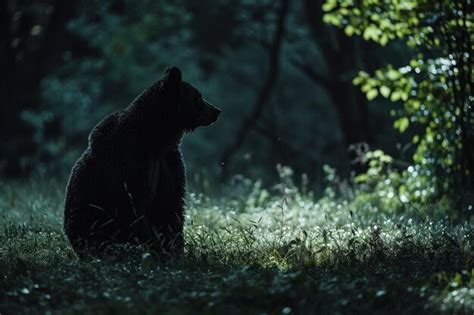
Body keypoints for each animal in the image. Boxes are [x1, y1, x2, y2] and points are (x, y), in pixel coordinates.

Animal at [63, 68, 220, 258]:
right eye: (197, 96)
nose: (216, 111)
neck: (157, 139)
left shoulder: (168, 162)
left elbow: (171, 205)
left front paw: (174, 249)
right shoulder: (132, 164)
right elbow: (135, 209)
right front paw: (156, 249)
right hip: (84, 214)